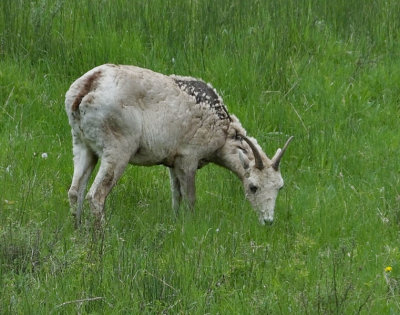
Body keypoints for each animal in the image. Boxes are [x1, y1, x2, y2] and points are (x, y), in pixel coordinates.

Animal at [64, 65, 292, 227]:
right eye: (253, 187)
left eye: (280, 187)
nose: (268, 221)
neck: (222, 131)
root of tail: (86, 89)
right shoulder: (188, 157)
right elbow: (190, 198)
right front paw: (190, 226)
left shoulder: (172, 162)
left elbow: (176, 197)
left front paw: (175, 223)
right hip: (117, 149)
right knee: (96, 196)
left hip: (82, 144)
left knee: (75, 192)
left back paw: (78, 233)